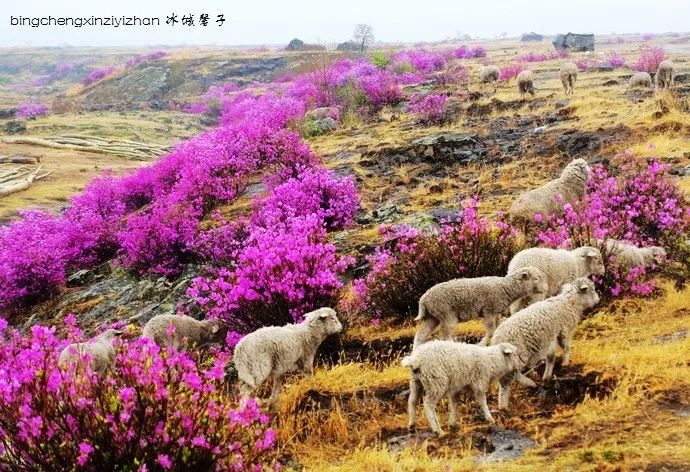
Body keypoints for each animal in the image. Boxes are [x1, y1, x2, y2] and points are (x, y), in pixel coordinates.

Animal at [412, 266, 544, 350]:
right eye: (536, 279)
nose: (545, 289)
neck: (506, 287)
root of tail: (423, 300)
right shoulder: (489, 311)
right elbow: (491, 331)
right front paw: (481, 345)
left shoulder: (496, 312)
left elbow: (497, 328)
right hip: (446, 313)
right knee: (444, 336)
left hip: (432, 317)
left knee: (420, 335)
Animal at [490, 276, 596, 410]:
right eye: (592, 289)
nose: (598, 300)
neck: (569, 303)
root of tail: (497, 338)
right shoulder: (563, 331)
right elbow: (566, 348)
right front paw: (565, 363)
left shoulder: (550, 340)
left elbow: (550, 358)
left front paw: (547, 377)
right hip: (518, 354)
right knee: (509, 377)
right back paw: (511, 399)